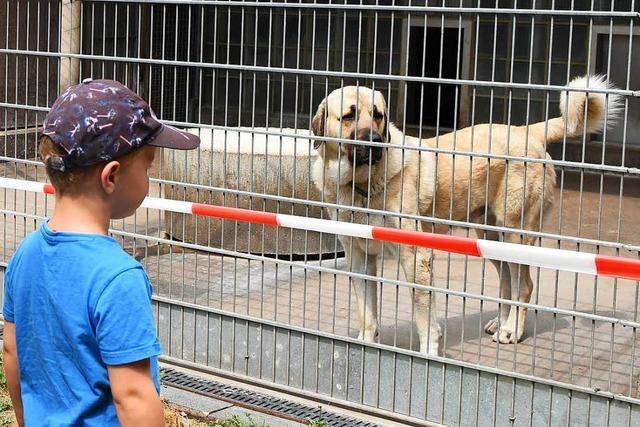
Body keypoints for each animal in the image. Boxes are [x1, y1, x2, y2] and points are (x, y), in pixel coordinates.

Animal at [310, 75, 620, 356]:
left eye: (378, 115)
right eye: (349, 116)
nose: (375, 142)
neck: (358, 184)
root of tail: (527, 132)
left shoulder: (416, 257)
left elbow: (424, 316)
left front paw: (429, 353)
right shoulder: (359, 258)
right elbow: (366, 312)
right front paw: (365, 342)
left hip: (515, 233)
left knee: (524, 285)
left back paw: (512, 330)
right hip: (490, 237)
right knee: (507, 281)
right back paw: (501, 323)